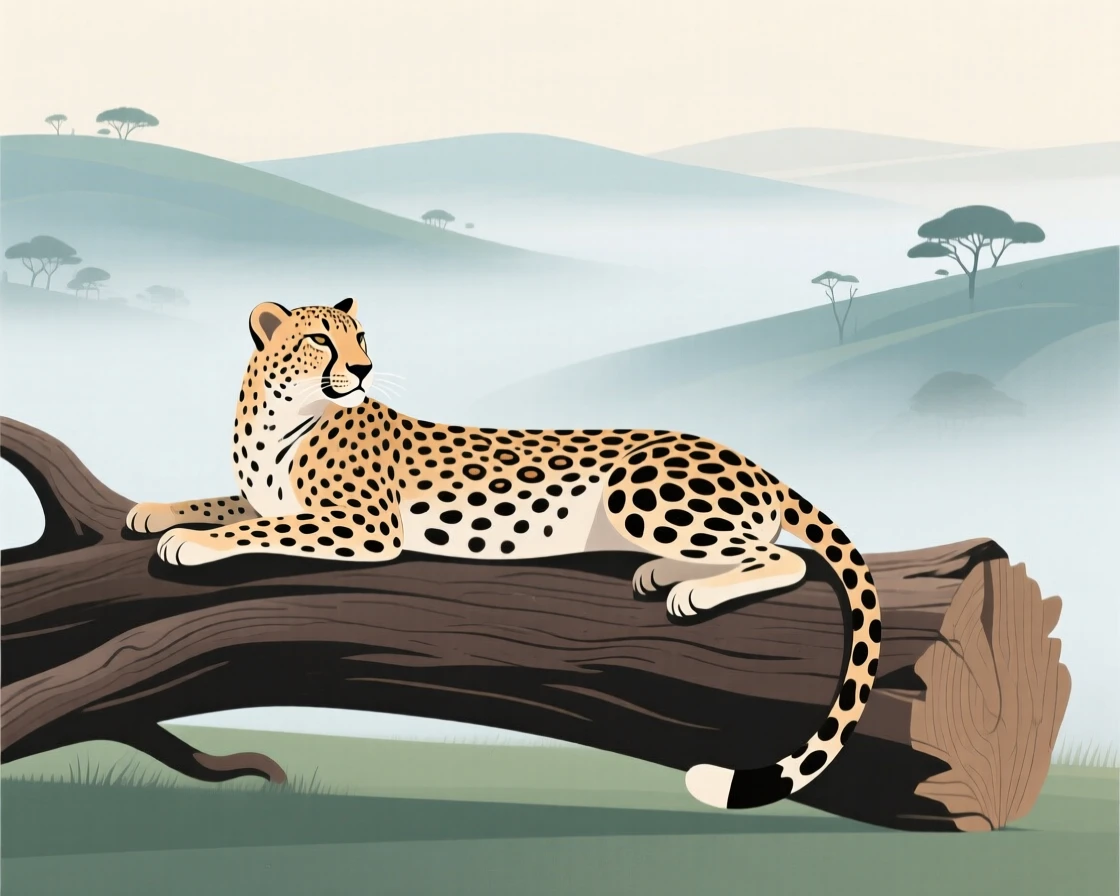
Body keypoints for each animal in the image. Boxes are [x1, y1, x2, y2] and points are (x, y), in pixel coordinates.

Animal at [126, 298, 882, 811]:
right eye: (320, 338)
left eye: (360, 338)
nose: (365, 369)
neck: (277, 417)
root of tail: (752, 460)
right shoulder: (266, 499)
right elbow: (222, 503)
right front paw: (156, 510)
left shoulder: (364, 525)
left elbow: (255, 529)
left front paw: (189, 543)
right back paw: (662, 570)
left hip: (641, 490)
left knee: (784, 557)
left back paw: (694, 589)